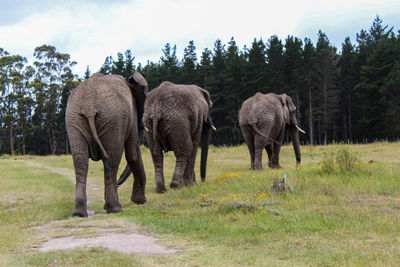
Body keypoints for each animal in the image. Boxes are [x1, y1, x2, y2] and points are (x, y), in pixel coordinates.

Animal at [65, 71, 148, 218]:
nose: (119, 183)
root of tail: (89, 107)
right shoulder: (131, 113)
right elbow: (133, 154)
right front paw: (140, 201)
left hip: (74, 119)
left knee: (80, 162)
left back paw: (79, 214)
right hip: (113, 120)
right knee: (112, 161)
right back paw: (115, 209)